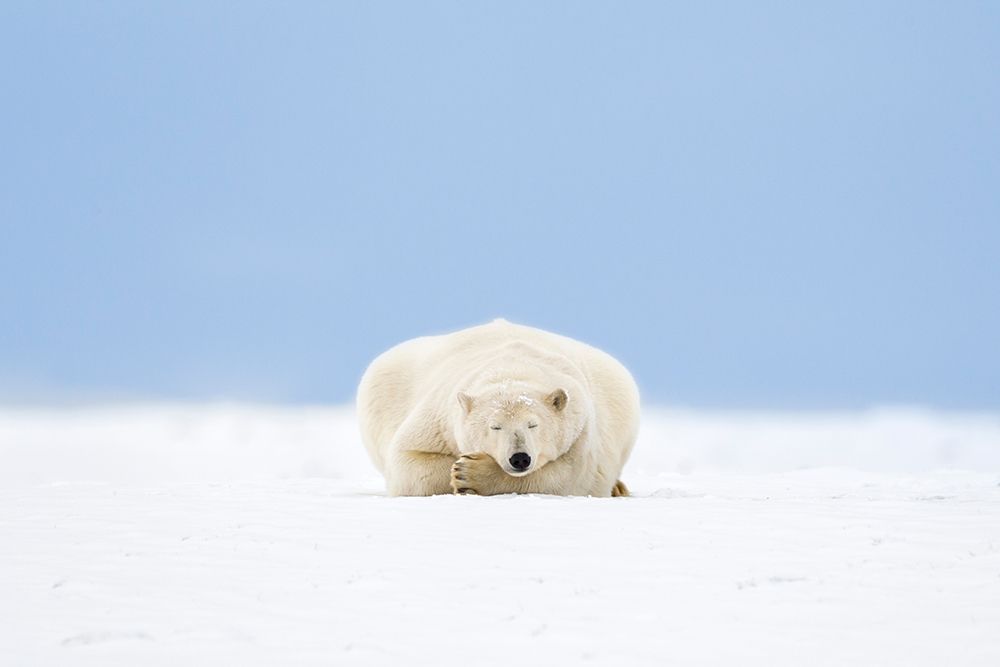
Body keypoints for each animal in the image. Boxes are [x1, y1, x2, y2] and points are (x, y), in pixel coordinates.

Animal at [356, 319, 639, 497]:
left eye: (533, 424)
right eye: (495, 426)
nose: (520, 458)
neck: (512, 367)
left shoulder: (581, 427)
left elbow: (570, 476)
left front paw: (471, 474)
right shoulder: (439, 418)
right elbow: (408, 461)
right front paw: (458, 469)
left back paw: (619, 488)